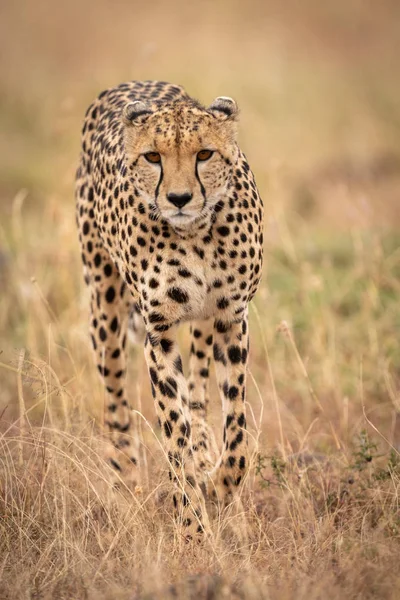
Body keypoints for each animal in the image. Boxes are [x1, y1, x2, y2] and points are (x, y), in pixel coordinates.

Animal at [76, 78, 264, 536]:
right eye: (153, 157)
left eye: (204, 154)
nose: (179, 197)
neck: (196, 231)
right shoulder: (157, 332)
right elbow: (173, 430)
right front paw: (192, 524)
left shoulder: (231, 319)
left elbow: (236, 430)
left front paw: (219, 485)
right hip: (104, 309)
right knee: (116, 403)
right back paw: (126, 482)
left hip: (200, 326)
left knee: (197, 392)